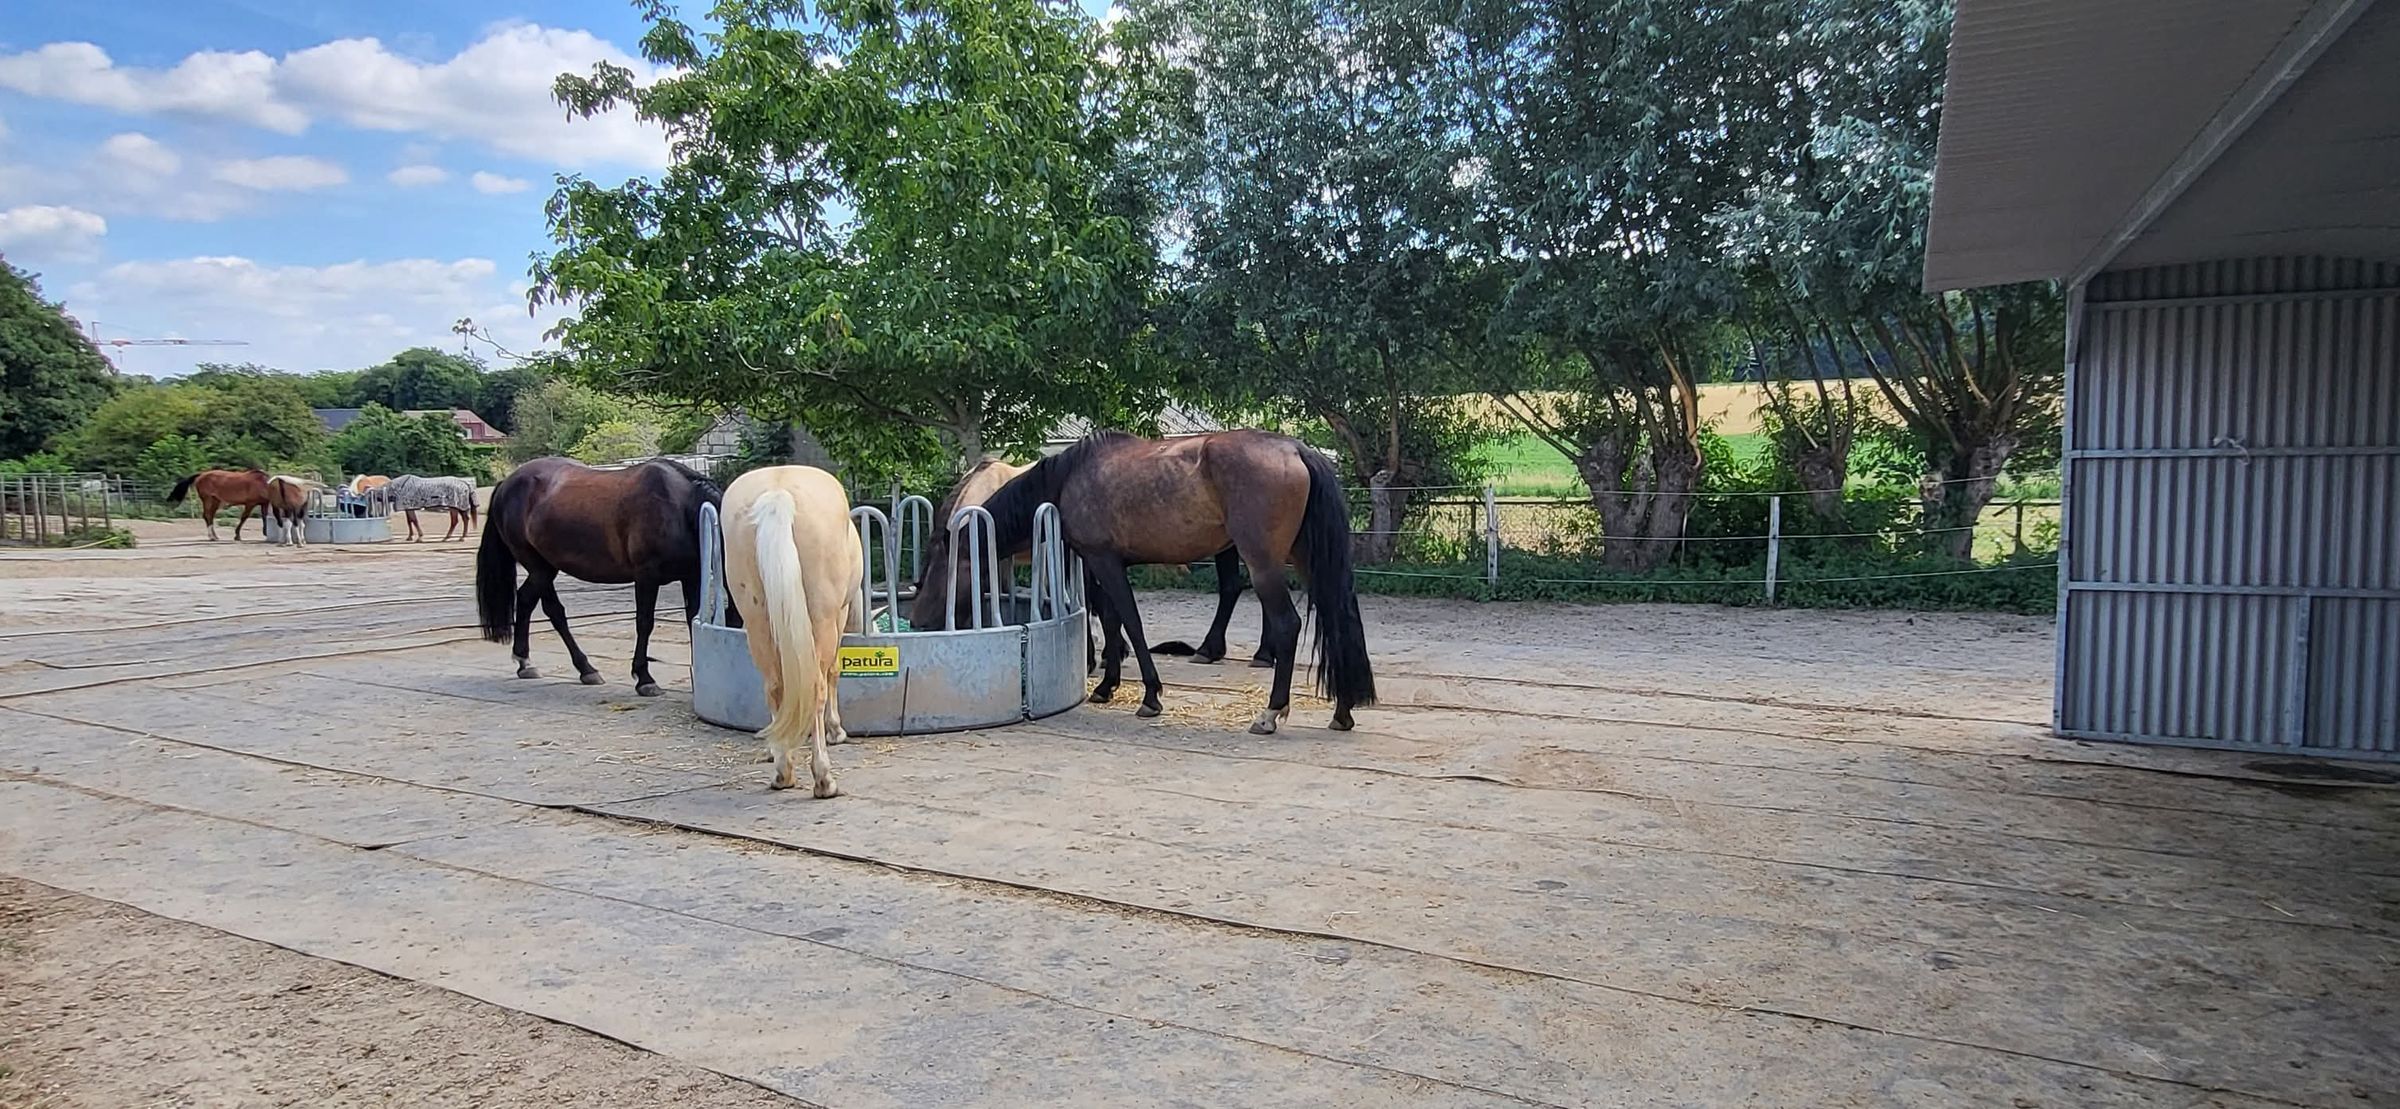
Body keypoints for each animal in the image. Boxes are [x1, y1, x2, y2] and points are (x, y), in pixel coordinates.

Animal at [476, 457, 722, 697]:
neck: (679, 506)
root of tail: (506, 483)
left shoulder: (692, 575)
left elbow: (692, 617)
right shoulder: (646, 576)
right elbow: (644, 623)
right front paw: (644, 679)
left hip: (546, 568)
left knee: (535, 603)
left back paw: (550, 665)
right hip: (538, 567)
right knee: (543, 606)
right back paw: (555, 665)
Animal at [720, 465, 861, 797]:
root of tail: (777, 495)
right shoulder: (839, 615)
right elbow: (834, 672)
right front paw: (836, 730)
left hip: (757, 621)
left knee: (774, 687)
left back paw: (782, 770)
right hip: (822, 618)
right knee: (816, 687)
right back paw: (824, 779)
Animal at [913, 430, 1375, 734]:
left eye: (939, 566)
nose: (917, 622)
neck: (1068, 477)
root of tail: (1296, 449)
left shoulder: (1103, 560)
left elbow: (1128, 622)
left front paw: (1149, 695)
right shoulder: (1099, 563)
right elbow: (1112, 619)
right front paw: (1106, 684)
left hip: (1262, 559)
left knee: (1286, 624)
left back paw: (1270, 712)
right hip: (1306, 558)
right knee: (1336, 618)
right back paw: (1343, 710)